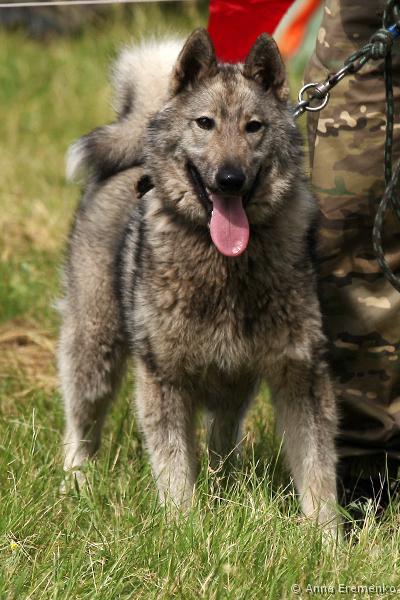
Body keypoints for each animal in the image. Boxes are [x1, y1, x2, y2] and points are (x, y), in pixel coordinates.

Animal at [59, 28, 338, 532]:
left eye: (253, 126)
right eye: (204, 123)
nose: (230, 179)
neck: (224, 266)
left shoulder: (299, 373)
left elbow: (318, 474)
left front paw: (329, 543)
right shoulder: (164, 379)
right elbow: (174, 469)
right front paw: (181, 530)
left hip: (234, 390)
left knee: (222, 442)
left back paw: (226, 490)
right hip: (95, 352)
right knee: (79, 427)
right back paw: (76, 487)